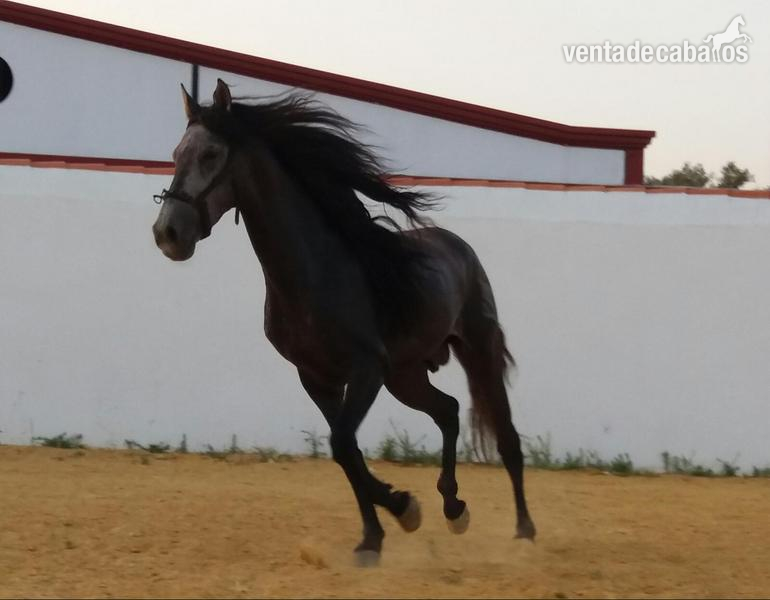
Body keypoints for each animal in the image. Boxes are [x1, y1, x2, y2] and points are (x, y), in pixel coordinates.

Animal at [151, 79, 536, 565]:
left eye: (211, 154)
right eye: (176, 153)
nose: (167, 234)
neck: (314, 274)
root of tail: (459, 246)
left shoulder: (365, 370)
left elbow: (342, 445)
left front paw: (403, 509)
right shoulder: (317, 378)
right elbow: (345, 451)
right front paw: (376, 534)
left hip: (476, 351)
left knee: (506, 437)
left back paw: (524, 530)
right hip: (405, 376)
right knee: (447, 412)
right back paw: (453, 508)